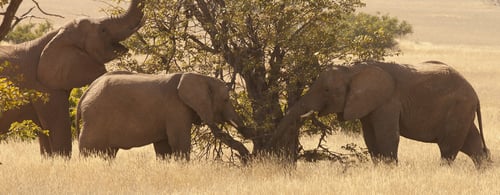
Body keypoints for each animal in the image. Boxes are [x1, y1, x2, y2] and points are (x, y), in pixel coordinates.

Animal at [77, 71, 248, 160]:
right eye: (226, 100)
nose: (246, 158)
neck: (201, 77)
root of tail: (85, 94)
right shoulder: (176, 108)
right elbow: (179, 143)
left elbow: (164, 147)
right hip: (95, 120)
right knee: (91, 151)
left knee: (108, 153)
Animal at [278, 61, 492, 168]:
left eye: (327, 90)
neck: (353, 70)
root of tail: (475, 94)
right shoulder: (367, 105)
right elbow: (370, 138)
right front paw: (380, 168)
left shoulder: (388, 101)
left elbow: (386, 136)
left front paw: (390, 169)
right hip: (462, 111)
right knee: (472, 145)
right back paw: (484, 171)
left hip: (458, 108)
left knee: (449, 147)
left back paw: (442, 172)